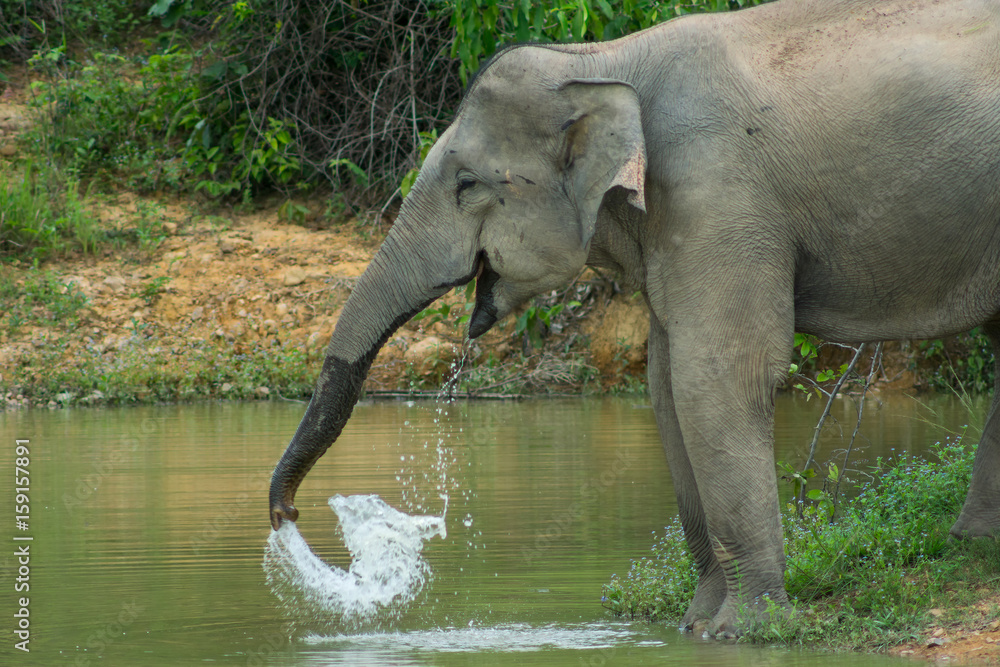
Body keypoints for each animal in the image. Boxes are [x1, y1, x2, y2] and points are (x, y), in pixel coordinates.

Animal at [269, 0, 1000, 637]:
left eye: (468, 183)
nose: (287, 513)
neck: (604, 60)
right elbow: (666, 386)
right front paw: (694, 625)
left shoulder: (718, 192)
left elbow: (716, 378)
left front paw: (745, 631)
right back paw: (972, 545)